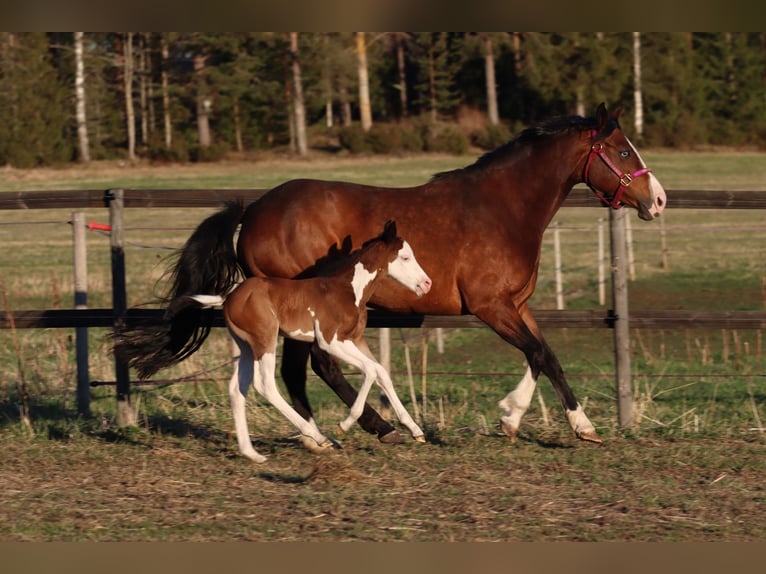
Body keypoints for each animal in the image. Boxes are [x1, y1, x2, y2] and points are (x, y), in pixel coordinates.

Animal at [120, 220, 431, 462]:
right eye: (405, 257)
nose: (426, 284)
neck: (347, 288)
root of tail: (228, 297)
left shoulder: (355, 340)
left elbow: (381, 371)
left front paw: (415, 431)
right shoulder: (330, 340)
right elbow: (369, 371)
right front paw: (345, 424)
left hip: (247, 347)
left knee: (237, 389)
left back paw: (252, 453)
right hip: (265, 340)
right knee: (265, 385)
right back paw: (317, 436)